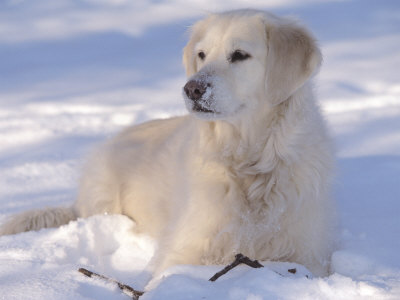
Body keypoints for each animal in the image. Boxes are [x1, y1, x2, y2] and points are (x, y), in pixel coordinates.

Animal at [0, 10, 336, 280]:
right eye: (202, 54)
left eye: (240, 55)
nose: (192, 88)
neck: (249, 163)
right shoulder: (184, 249)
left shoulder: (306, 255)